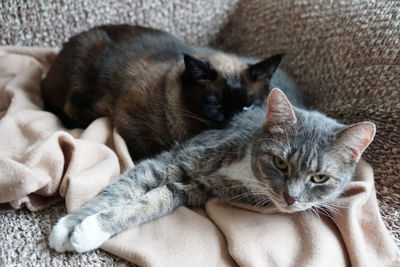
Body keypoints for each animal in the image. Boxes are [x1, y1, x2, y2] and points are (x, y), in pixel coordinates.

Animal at [49, 89, 376, 253]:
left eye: (319, 178)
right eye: (280, 163)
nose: (291, 198)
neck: (245, 169)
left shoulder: (193, 188)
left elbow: (149, 203)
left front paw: (91, 230)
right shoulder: (175, 160)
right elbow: (121, 189)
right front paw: (69, 226)